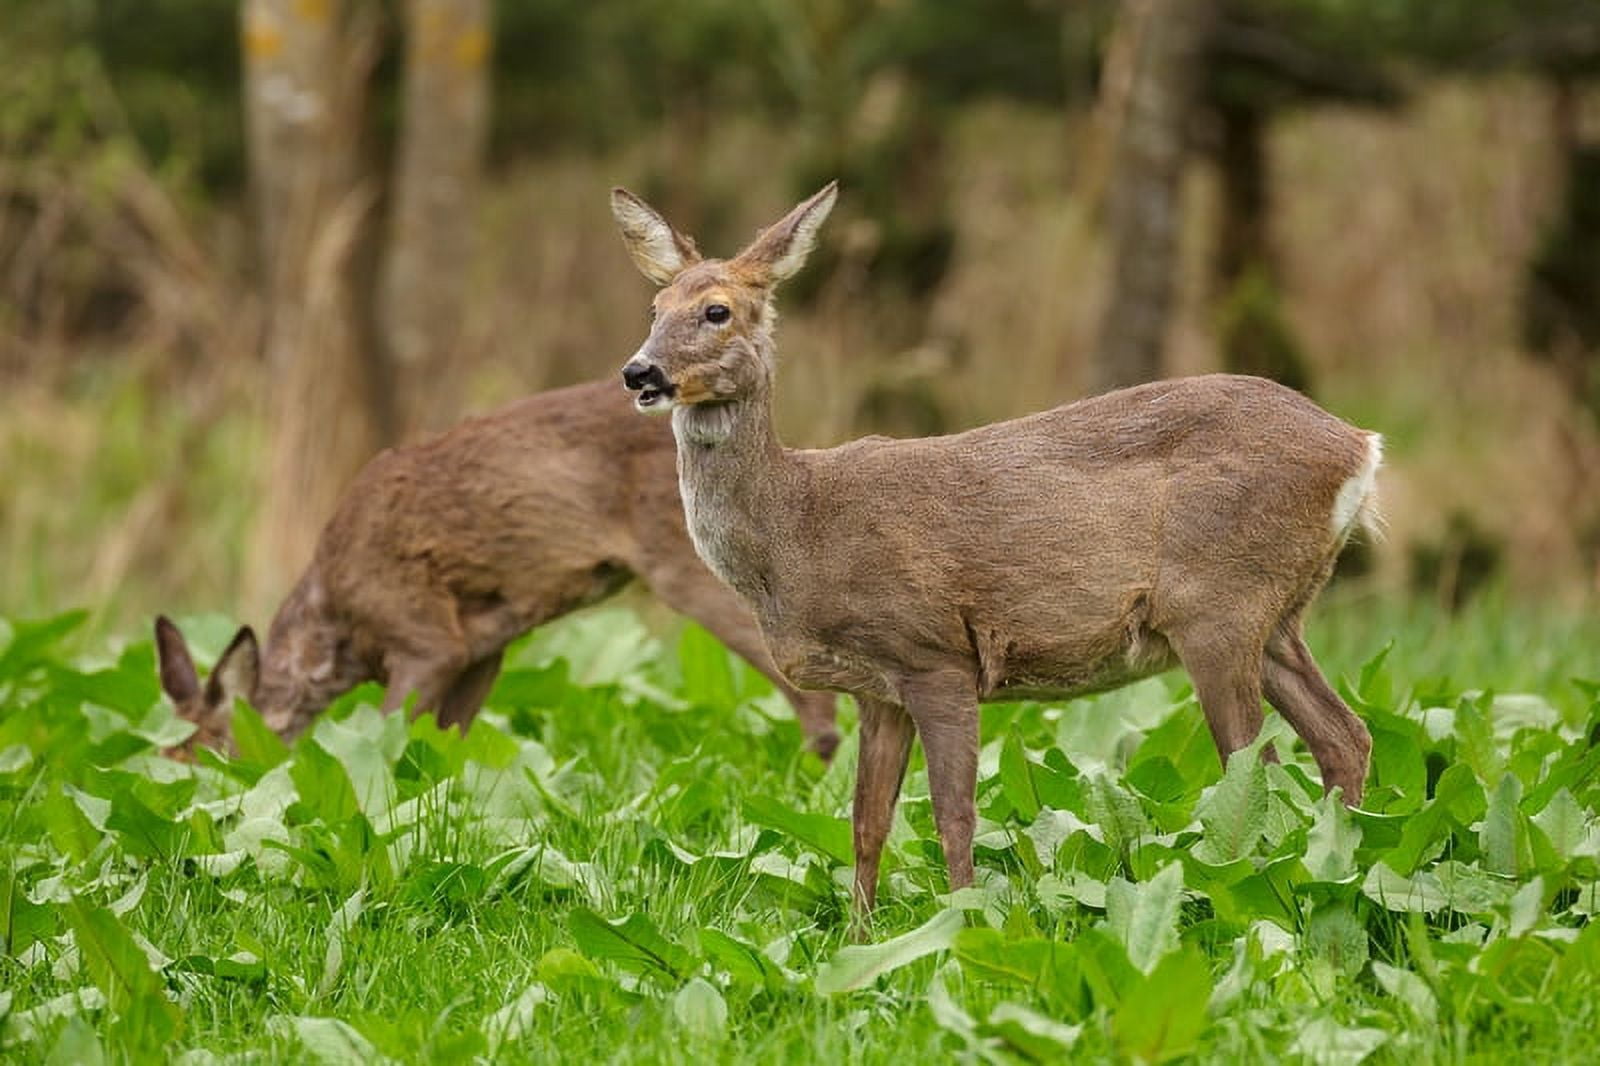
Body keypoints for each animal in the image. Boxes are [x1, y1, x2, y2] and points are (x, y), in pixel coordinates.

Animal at [154, 380, 841, 762]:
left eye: (207, 755)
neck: (337, 627)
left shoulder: (425, 636)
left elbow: (388, 731)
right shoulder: (482, 650)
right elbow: (441, 742)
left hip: (683, 561)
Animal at [611, 181, 1382, 918]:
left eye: (716, 311)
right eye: (654, 305)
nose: (639, 372)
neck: (799, 530)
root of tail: (1360, 446)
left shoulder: (934, 653)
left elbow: (953, 814)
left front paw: (961, 925)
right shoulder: (876, 688)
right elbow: (866, 823)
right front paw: (858, 937)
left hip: (1218, 605)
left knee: (1257, 766)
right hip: (1274, 615)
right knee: (1344, 735)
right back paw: (1334, 868)